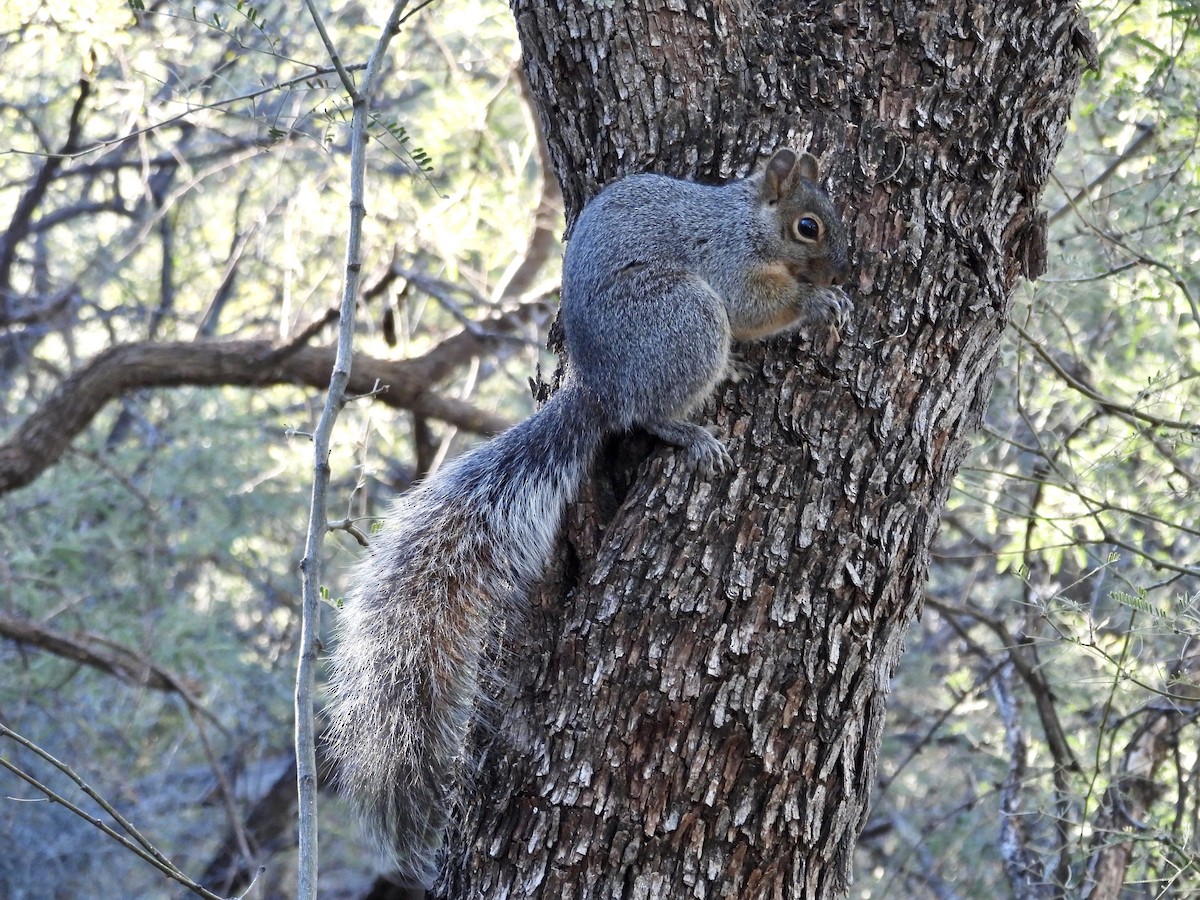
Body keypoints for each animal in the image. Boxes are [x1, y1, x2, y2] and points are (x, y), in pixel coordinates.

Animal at [324, 147, 851, 888]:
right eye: (809, 226)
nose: (840, 273)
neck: (745, 219)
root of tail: (603, 385)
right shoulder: (724, 263)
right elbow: (754, 309)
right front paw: (814, 304)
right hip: (686, 319)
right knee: (649, 411)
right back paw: (690, 431)